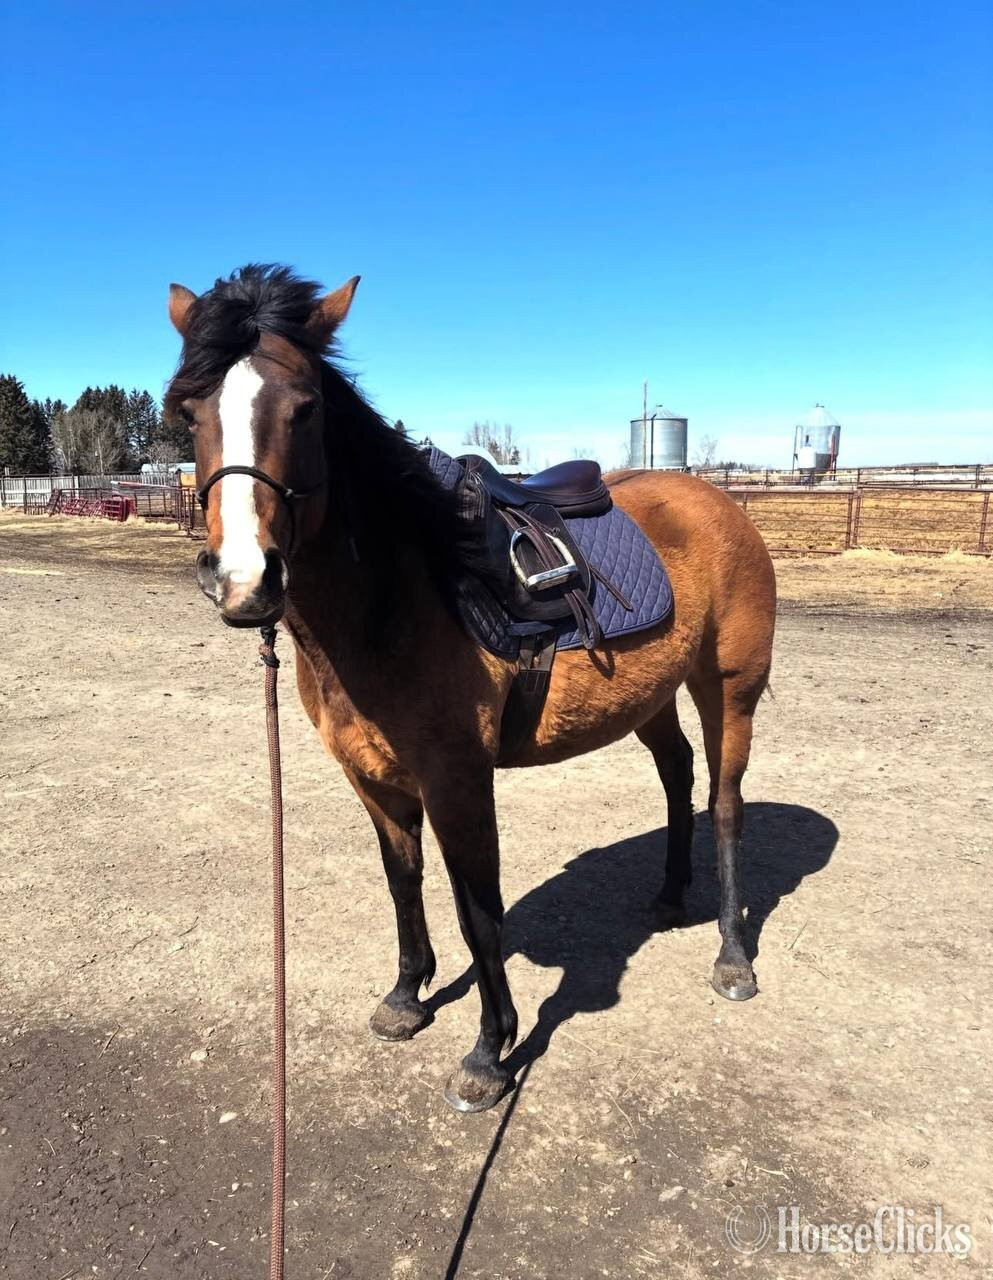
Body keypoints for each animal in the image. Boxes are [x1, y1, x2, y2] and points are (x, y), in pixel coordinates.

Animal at [165, 264, 776, 1113]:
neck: (396, 596)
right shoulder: (373, 777)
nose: (245, 581)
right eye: (188, 411)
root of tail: (718, 502)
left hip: (729, 686)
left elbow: (477, 913)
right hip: (650, 695)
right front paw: (406, 995)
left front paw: (490, 1052)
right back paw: (666, 898)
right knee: (677, 772)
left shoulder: (457, 779)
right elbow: (403, 882)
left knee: (724, 804)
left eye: (305, 407)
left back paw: (730, 956)